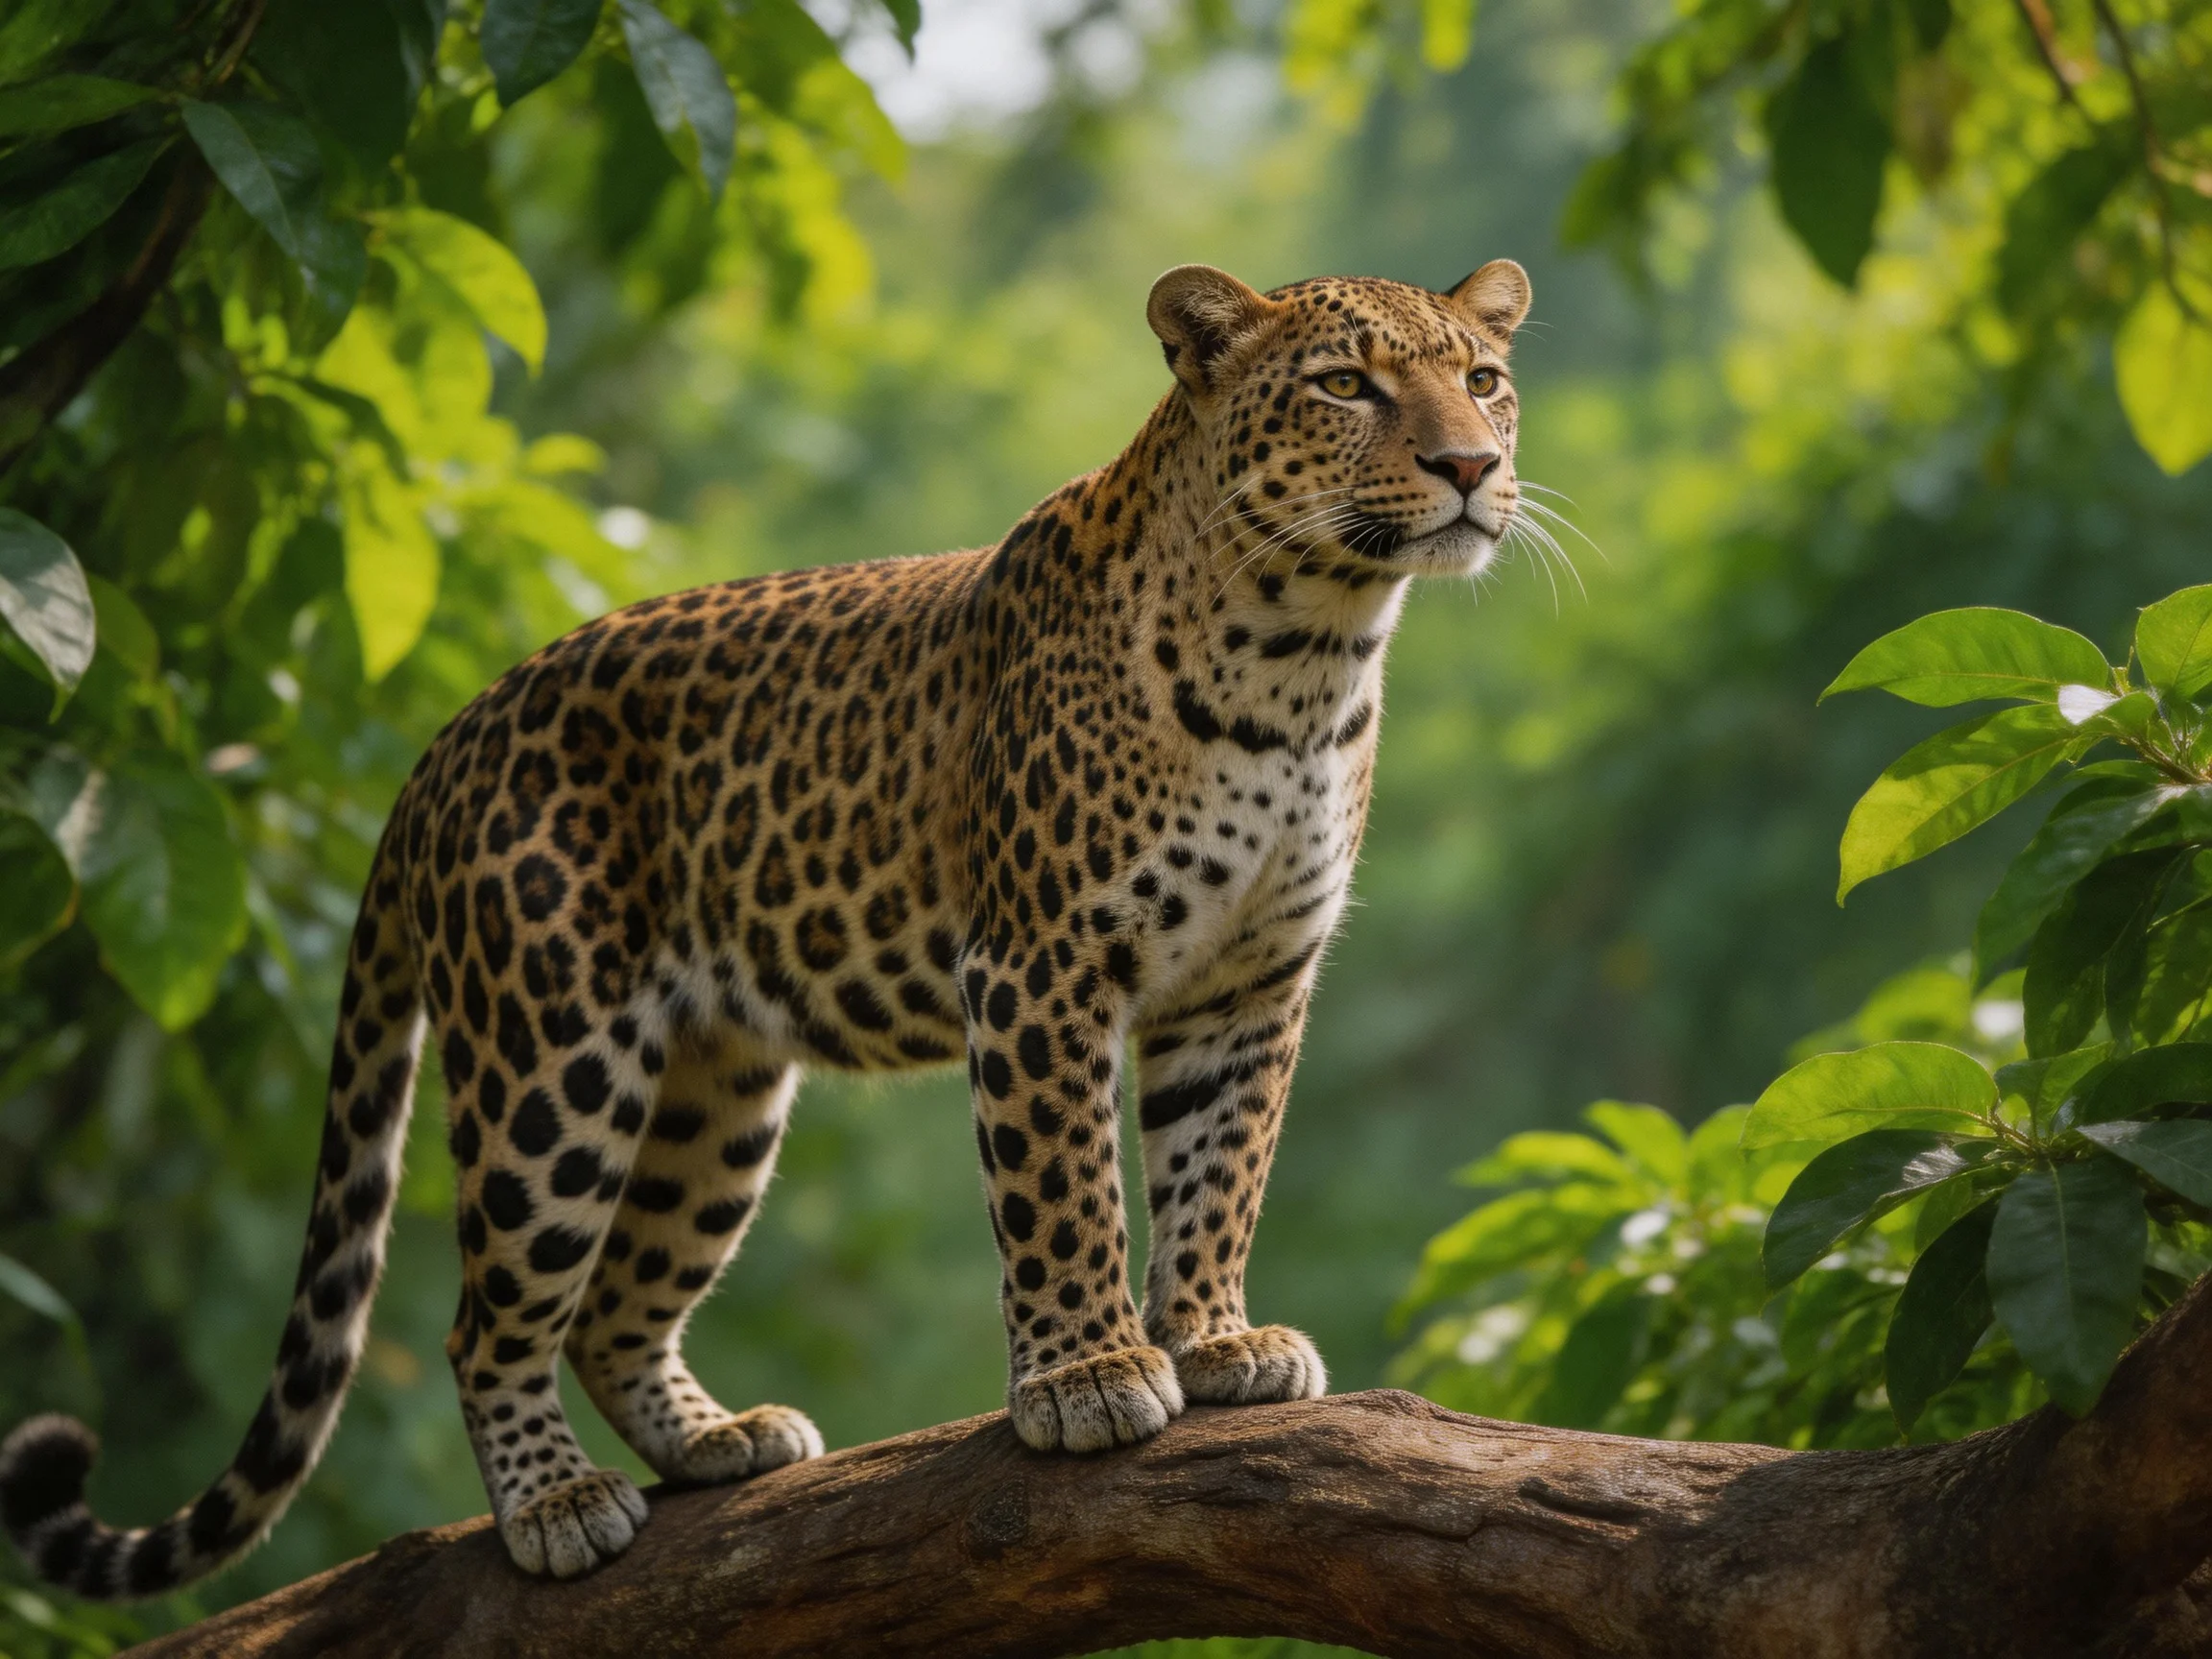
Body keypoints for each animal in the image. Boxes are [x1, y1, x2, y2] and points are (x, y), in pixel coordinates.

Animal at [0, 256, 1534, 1591]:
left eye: (1484, 379)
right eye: (1344, 384)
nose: (1472, 468)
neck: (1307, 656)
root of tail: (442, 744)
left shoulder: (1249, 983)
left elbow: (1221, 1173)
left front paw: (1217, 1341)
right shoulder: (1039, 966)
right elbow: (1066, 1189)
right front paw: (1090, 1375)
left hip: (712, 1095)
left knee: (614, 1309)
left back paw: (717, 1443)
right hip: (552, 1063)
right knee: (485, 1318)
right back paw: (553, 1507)